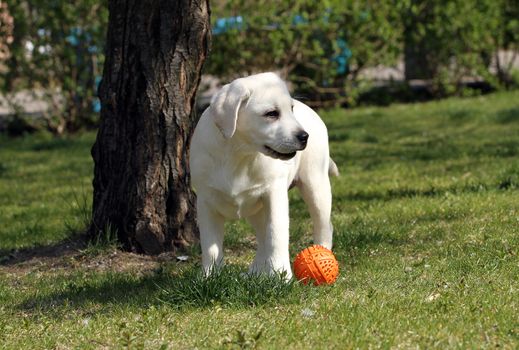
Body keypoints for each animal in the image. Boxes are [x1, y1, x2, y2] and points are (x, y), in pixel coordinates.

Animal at [189, 72, 340, 278]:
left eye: (291, 109)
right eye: (271, 114)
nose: (304, 137)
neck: (239, 154)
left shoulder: (274, 194)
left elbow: (276, 234)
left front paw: (281, 275)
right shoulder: (206, 202)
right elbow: (210, 245)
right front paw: (210, 276)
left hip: (316, 185)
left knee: (323, 226)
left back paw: (322, 254)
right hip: (256, 209)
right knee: (262, 239)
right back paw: (255, 273)